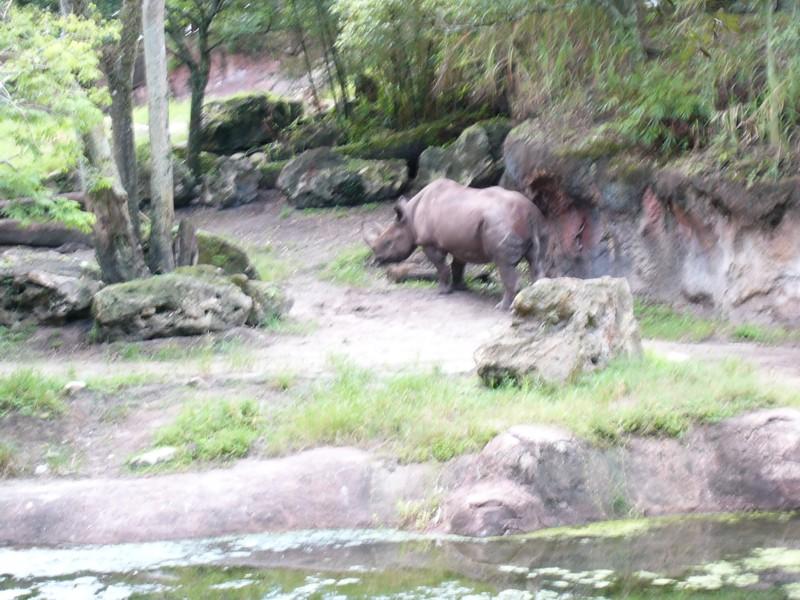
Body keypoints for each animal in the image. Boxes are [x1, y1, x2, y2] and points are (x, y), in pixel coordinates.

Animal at [364, 178, 548, 309]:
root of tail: (529, 212)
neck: (409, 218)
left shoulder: (430, 243)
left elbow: (441, 266)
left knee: (503, 263)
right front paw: (460, 287)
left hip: (501, 221)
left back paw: (502, 307)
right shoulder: (461, 242)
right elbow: (457, 265)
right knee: (537, 260)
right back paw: (534, 298)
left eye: (388, 242)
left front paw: (443, 291)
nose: (375, 260)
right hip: (537, 223)